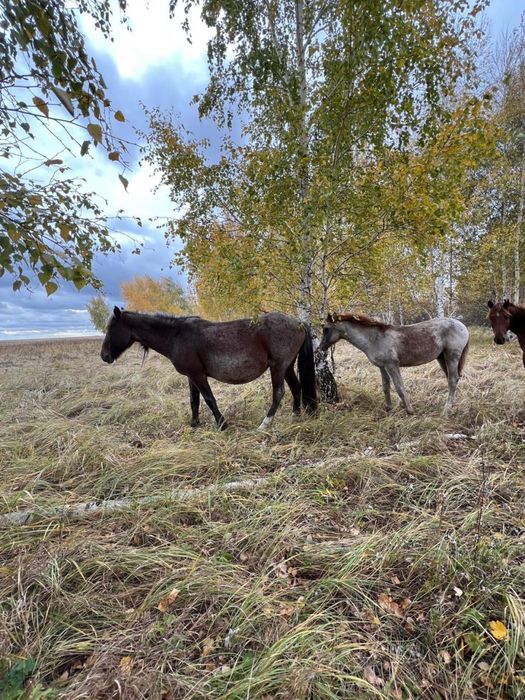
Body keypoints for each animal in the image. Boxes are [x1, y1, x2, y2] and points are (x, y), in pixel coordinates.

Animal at [100, 307, 317, 430]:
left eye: (111, 328)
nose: (104, 356)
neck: (176, 335)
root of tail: (299, 322)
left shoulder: (198, 375)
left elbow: (209, 399)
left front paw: (222, 425)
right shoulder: (190, 376)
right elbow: (194, 401)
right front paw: (194, 424)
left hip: (278, 367)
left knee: (279, 393)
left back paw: (265, 424)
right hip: (287, 366)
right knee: (296, 388)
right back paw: (296, 416)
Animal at [319, 312, 469, 414]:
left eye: (326, 329)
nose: (321, 347)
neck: (374, 339)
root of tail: (462, 326)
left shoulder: (392, 365)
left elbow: (399, 388)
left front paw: (409, 410)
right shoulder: (382, 366)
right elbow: (386, 387)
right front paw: (389, 409)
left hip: (451, 357)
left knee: (452, 380)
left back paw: (447, 408)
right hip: (441, 358)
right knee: (453, 379)